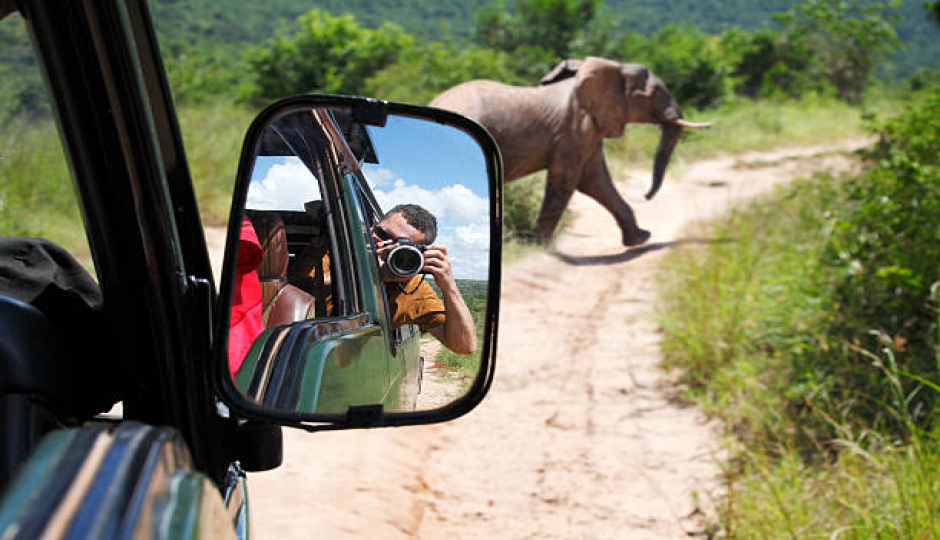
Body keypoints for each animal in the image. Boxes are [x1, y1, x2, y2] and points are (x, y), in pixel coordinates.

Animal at [430, 56, 708, 247]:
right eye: (652, 95)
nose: (647, 195)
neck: (614, 68)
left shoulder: (588, 131)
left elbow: (595, 181)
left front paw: (640, 239)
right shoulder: (574, 129)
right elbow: (568, 180)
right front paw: (538, 246)